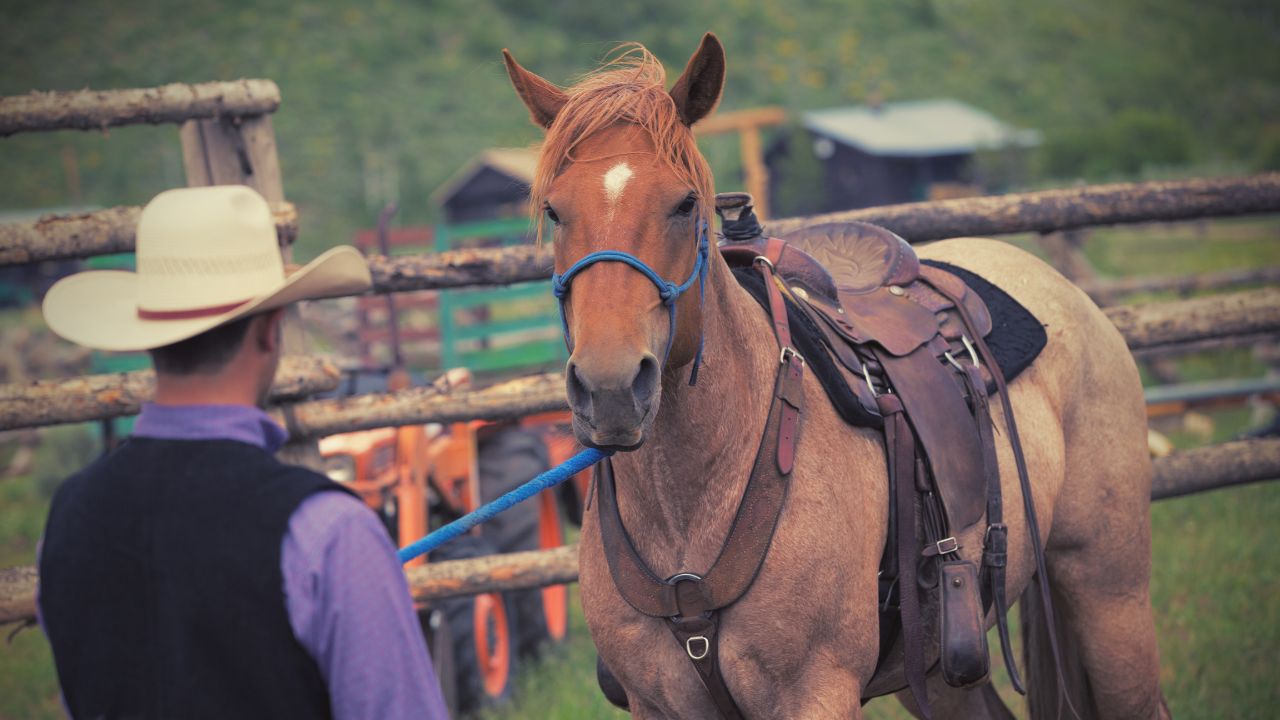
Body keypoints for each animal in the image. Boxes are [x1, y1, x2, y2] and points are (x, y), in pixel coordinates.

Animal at [502, 33, 1169, 719]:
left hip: (1108, 595)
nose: (610, 389)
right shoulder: (658, 704)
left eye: (685, 203)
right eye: (554, 211)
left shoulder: (815, 692)